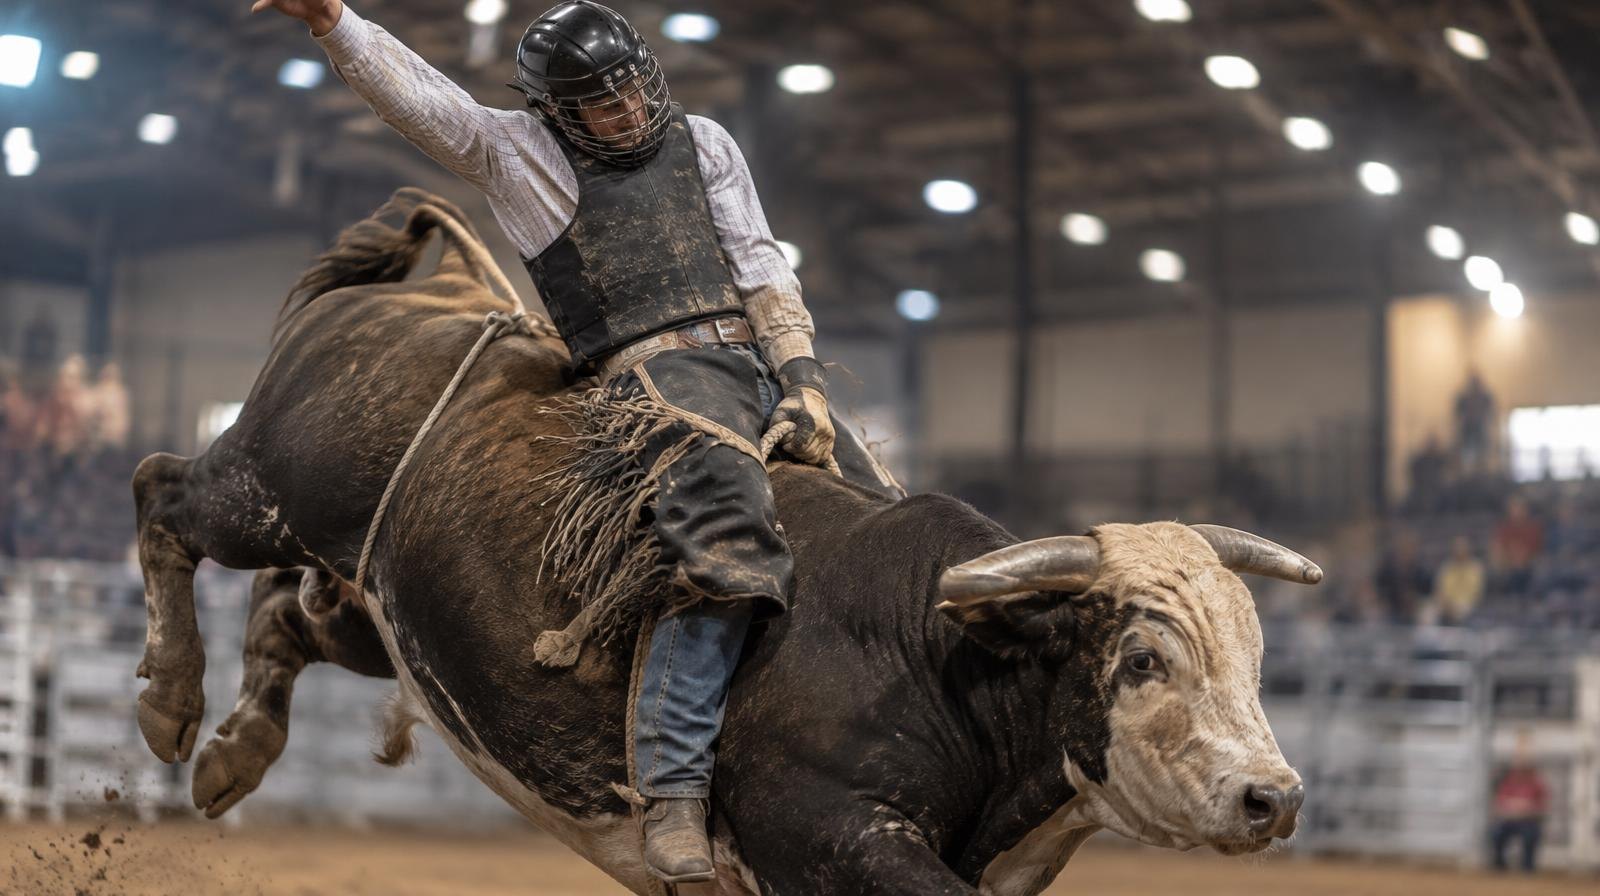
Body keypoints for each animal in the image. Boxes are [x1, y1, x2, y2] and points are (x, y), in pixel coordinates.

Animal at [133, 188, 1321, 895]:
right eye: (1141, 657)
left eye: (1259, 662)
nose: (1275, 797)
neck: (938, 654)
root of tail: (454, 291)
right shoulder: (828, 833)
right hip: (265, 483)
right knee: (162, 497)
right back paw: (171, 702)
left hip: (385, 605)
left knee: (294, 612)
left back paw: (234, 749)